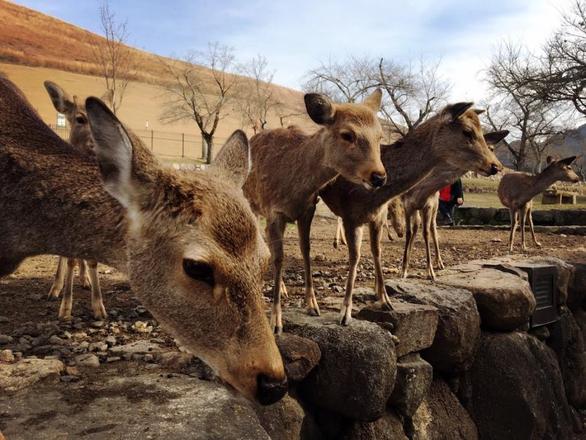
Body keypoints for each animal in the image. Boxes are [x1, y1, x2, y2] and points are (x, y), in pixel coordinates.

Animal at [42, 80, 106, 320]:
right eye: (80, 118)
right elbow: (68, 259)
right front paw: (66, 307)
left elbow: (92, 259)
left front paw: (99, 307)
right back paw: (56, 288)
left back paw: (84, 279)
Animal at [240, 89, 386, 332]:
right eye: (347, 134)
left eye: (380, 136)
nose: (379, 176)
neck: (297, 188)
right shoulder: (274, 211)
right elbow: (279, 257)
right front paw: (276, 321)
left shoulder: (308, 209)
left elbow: (305, 250)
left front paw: (312, 305)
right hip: (251, 203)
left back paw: (283, 288)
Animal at [396, 131, 506, 282]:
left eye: (492, 148)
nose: (497, 167)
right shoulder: (407, 206)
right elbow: (408, 233)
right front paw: (403, 270)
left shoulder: (428, 206)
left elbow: (426, 234)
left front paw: (430, 272)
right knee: (416, 228)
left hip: (434, 208)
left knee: (432, 229)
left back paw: (440, 263)